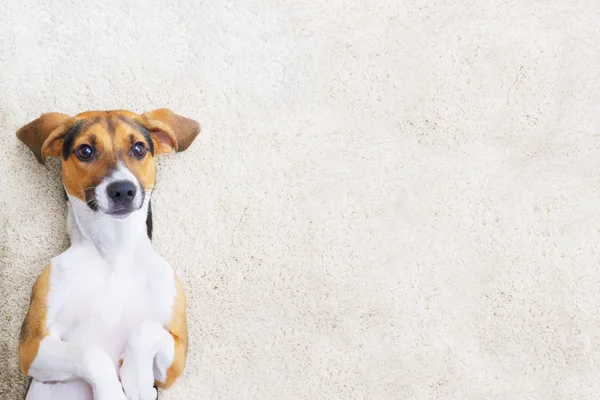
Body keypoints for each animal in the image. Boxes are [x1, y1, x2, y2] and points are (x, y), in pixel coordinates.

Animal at [14, 109, 199, 400]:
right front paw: (114, 391)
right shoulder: (32, 347)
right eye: (85, 151)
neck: (114, 253)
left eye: (138, 148)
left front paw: (136, 379)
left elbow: (145, 331)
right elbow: (92, 356)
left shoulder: (176, 356)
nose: (122, 189)